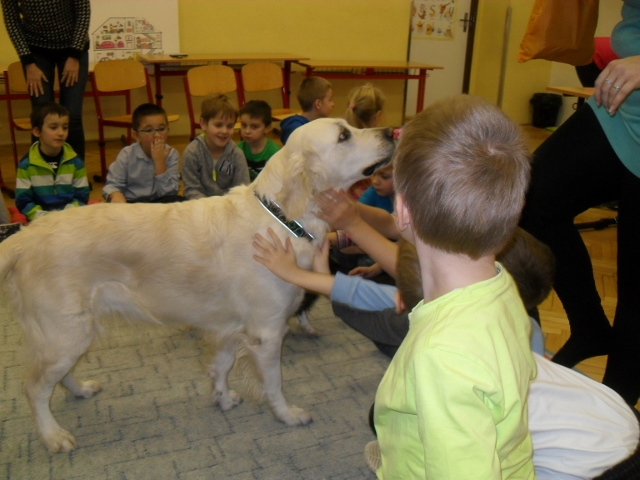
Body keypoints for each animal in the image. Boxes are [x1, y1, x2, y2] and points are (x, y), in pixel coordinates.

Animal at [0, 118, 394, 452]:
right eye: (343, 135)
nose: (392, 131)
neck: (282, 218)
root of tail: (25, 236)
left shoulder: (227, 326)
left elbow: (221, 365)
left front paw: (223, 397)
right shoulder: (267, 332)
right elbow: (273, 383)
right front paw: (286, 414)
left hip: (73, 332)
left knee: (56, 375)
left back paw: (80, 390)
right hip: (66, 331)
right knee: (34, 387)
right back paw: (53, 435)